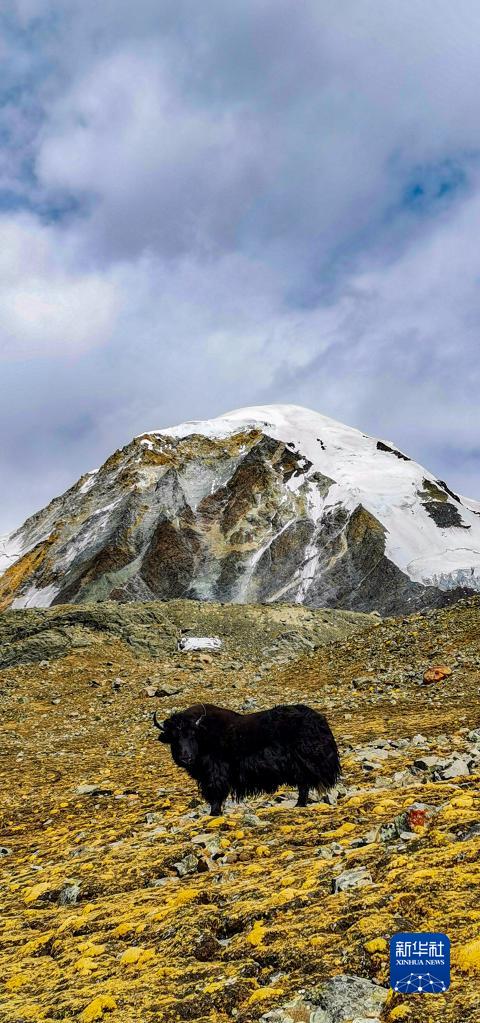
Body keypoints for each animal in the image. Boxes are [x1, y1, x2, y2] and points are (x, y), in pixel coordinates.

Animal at [153, 702, 340, 815]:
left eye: (192, 734)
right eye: (174, 737)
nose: (185, 757)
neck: (204, 736)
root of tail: (319, 720)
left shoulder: (215, 773)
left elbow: (215, 793)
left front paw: (214, 813)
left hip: (303, 762)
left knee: (304, 783)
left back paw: (299, 804)